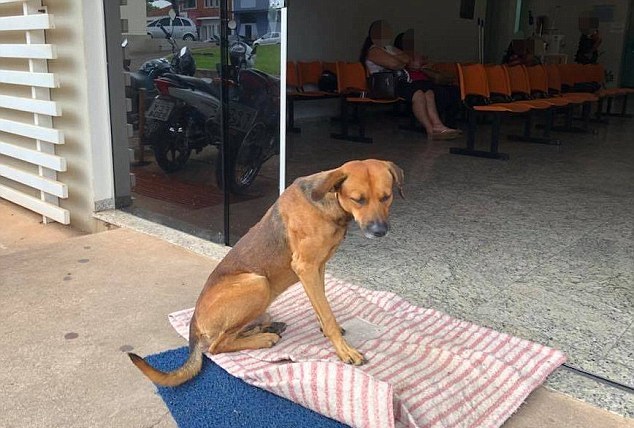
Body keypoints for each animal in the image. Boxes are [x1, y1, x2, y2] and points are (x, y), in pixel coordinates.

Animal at [130, 159, 404, 386]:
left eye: (386, 197)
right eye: (358, 199)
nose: (380, 231)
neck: (329, 201)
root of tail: (194, 322)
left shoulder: (319, 267)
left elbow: (322, 305)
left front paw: (329, 330)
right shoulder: (306, 267)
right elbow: (325, 312)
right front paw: (343, 349)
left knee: (232, 334)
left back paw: (267, 328)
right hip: (259, 284)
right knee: (217, 346)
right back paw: (264, 339)